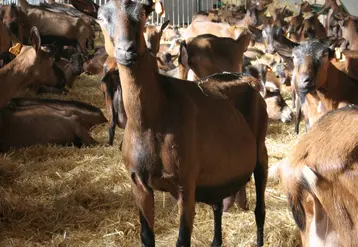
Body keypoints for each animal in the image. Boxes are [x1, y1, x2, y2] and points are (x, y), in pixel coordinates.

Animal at [73, 0, 268, 246]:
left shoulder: (186, 183)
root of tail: (248, 80)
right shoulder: (138, 182)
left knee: (260, 208)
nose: (126, 50)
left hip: (261, 150)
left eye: (143, 14)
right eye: (100, 18)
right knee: (217, 204)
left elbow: (183, 239)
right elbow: (147, 236)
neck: (151, 120)